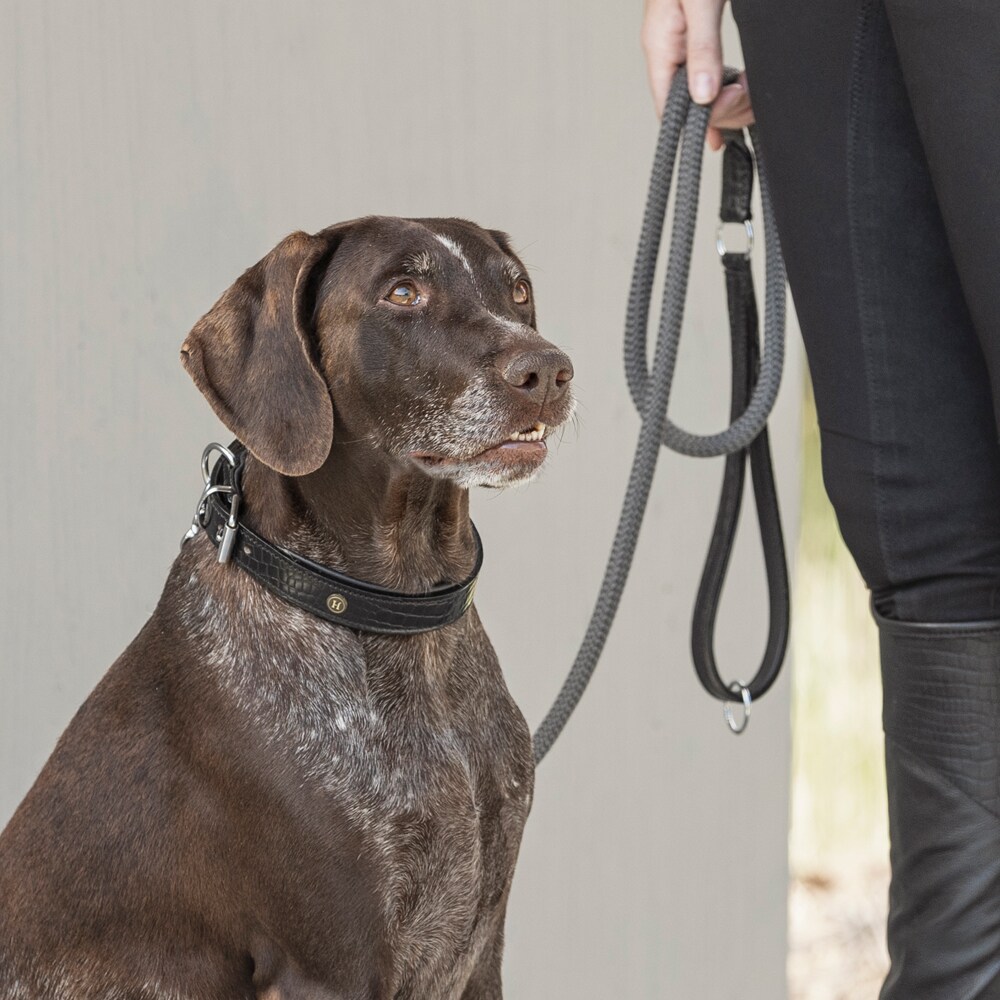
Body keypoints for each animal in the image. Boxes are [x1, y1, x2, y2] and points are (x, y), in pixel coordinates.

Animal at [0, 216, 574, 1000]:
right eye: (403, 292)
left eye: (516, 291)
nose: (548, 371)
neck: (400, 617)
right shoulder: (327, 968)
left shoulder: (481, 953)